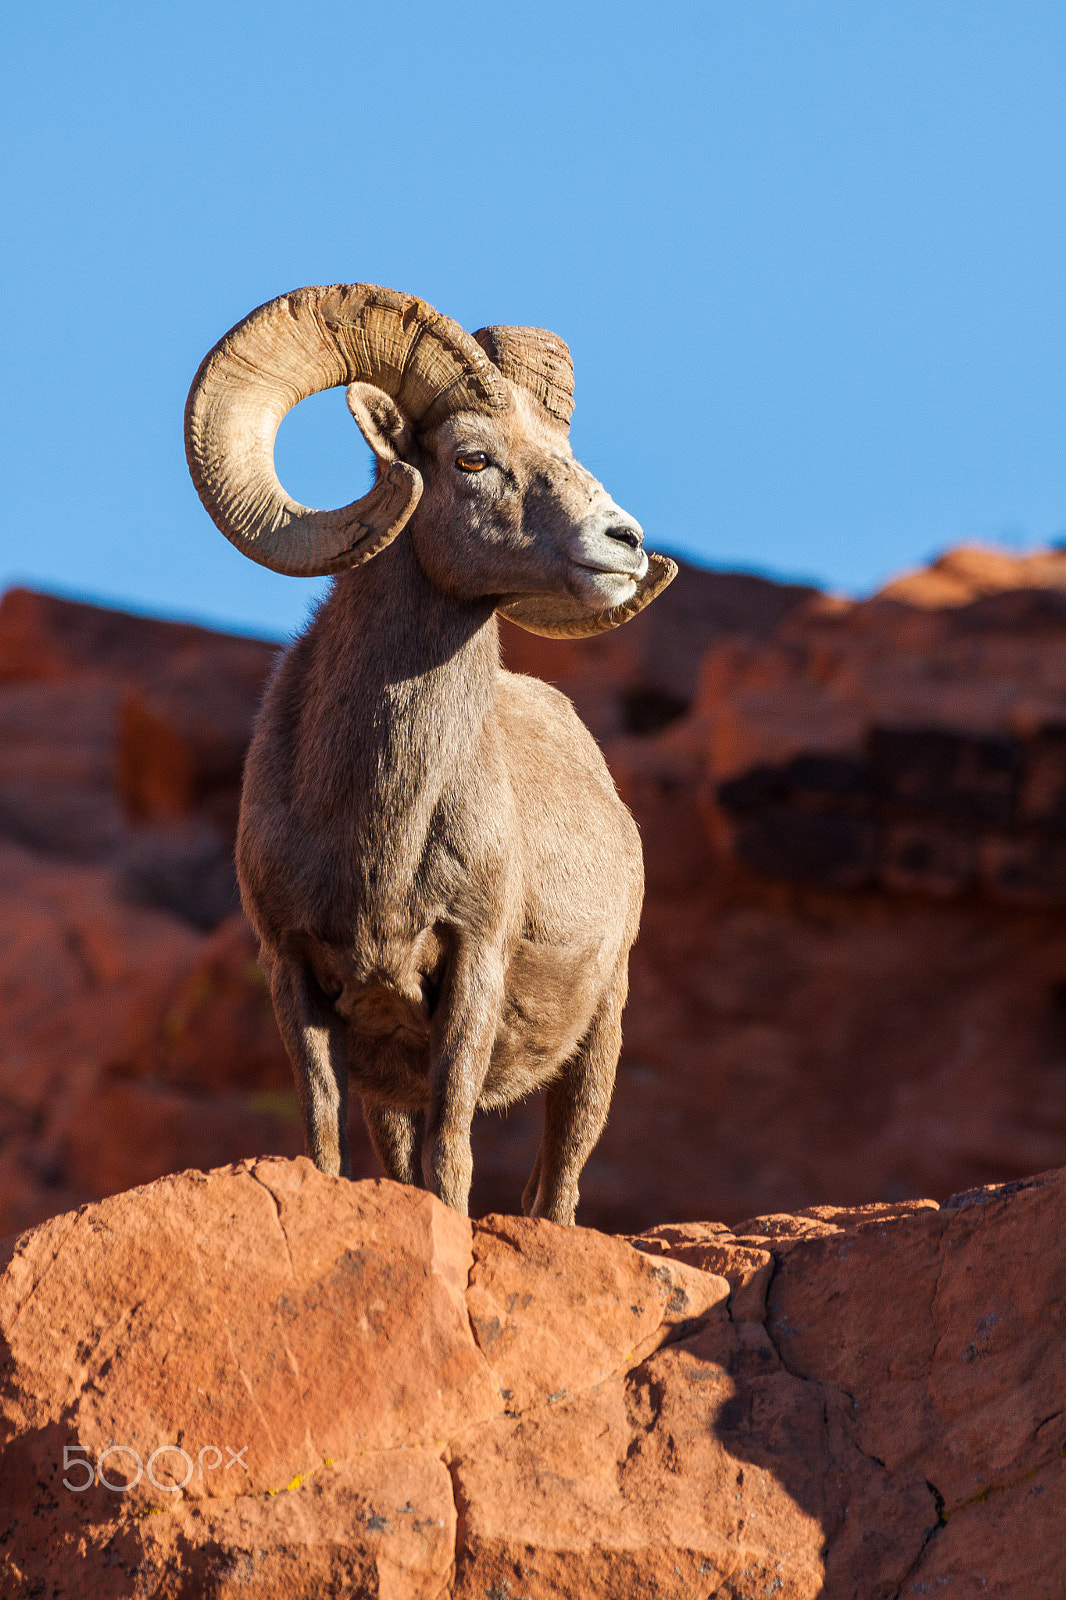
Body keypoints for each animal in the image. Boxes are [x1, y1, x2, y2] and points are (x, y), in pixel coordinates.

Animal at [185, 284, 675, 1222]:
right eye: (472, 459)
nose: (625, 544)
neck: (377, 828)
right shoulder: (298, 978)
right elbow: (325, 1142)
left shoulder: (472, 970)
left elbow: (453, 1155)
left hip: (601, 1038)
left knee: (558, 1191)